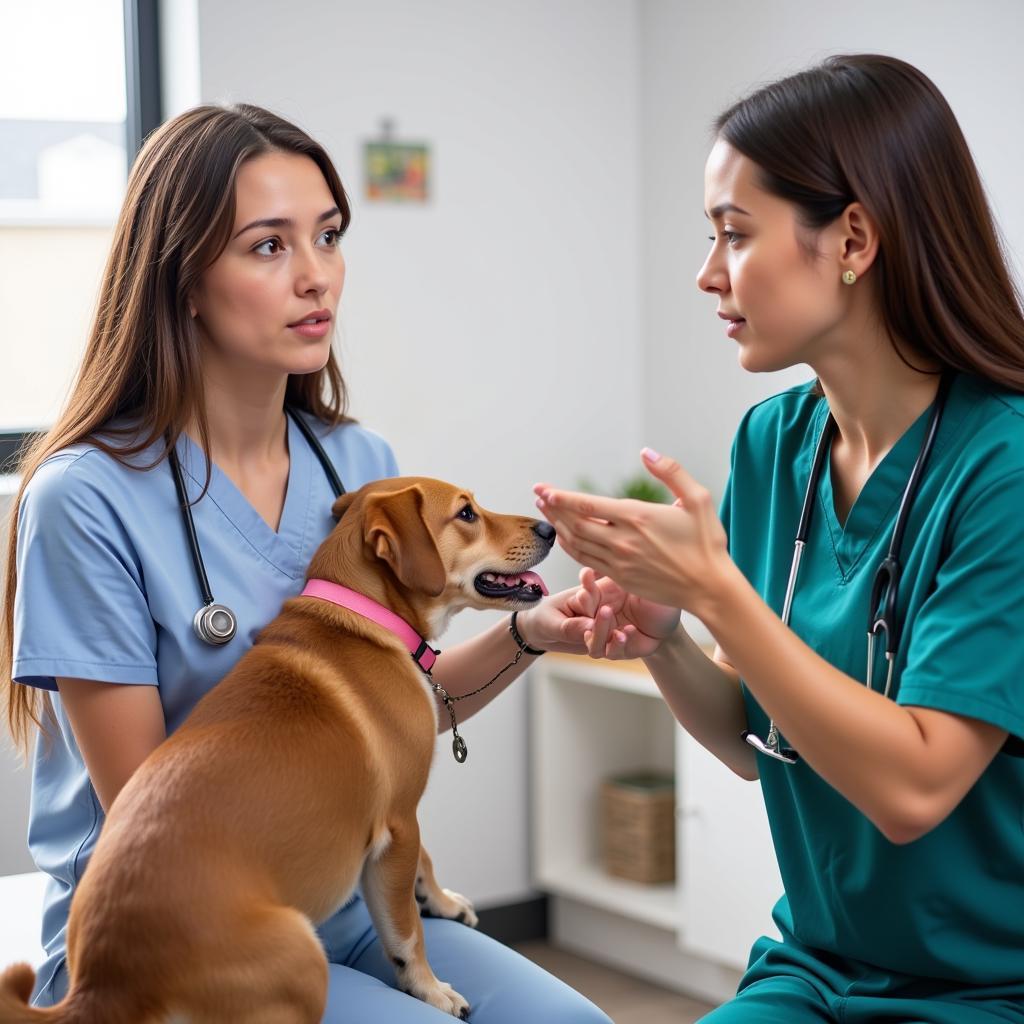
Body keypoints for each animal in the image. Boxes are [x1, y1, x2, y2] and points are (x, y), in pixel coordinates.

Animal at [0, 479, 552, 1024]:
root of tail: (106, 981)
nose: (548, 528)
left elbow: (424, 861)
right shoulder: (398, 818)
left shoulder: (400, 818)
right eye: (466, 513)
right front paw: (430, 988)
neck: (363, 614)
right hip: (300, 952)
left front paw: (438, 899)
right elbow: (405, 929)